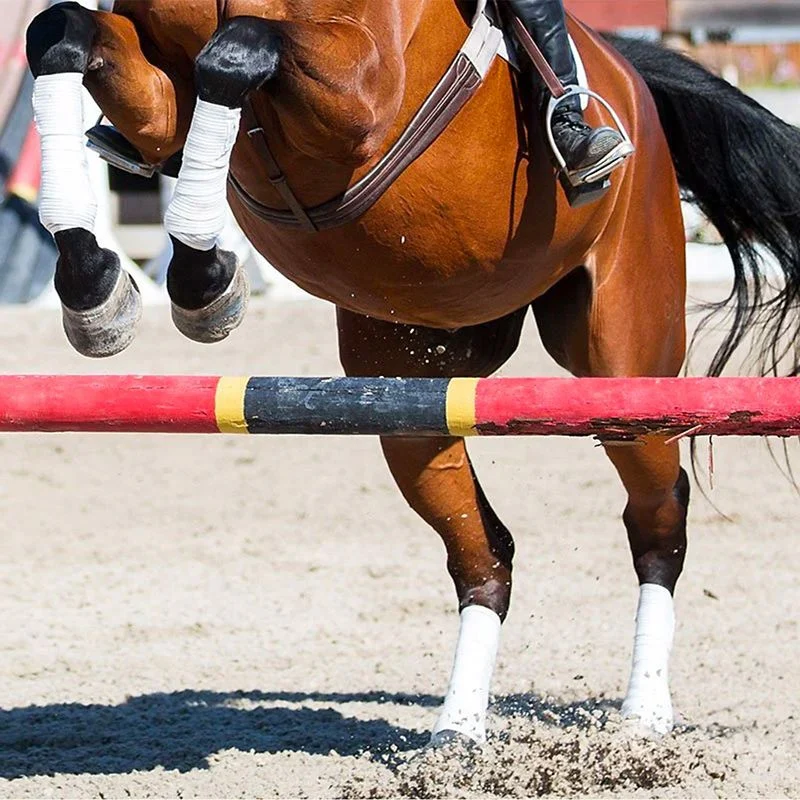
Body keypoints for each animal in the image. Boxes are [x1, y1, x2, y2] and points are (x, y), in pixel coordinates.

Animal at [25, 0, 800, 746]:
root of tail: (630, 79)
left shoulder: (358, 95)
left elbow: (238, 50)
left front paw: (202, 276)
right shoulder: (163, 105)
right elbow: (60, 35)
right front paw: (100, 287)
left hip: (623, 371)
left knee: (658, 515)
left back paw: (644, 714)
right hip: (413, 397)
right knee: (485, 554)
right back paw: (459, 730)